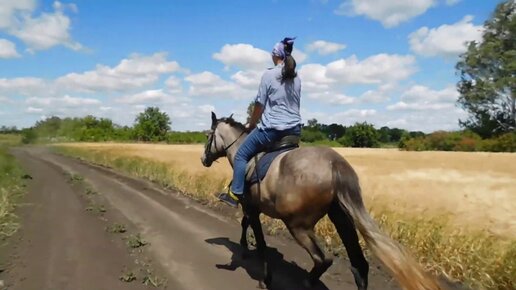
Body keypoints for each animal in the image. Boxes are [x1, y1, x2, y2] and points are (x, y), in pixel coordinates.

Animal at [201, 112, 444, 290]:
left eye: (208, 136)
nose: (203, 159)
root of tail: (335, 165)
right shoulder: (252, 208)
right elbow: (246, 225)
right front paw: (244, 249)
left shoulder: (251, 207)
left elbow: (259, 242)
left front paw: (262, 275)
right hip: (342, 219)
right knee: (360, 265)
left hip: (298, 225)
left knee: (322, 260)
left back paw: (307, 282)